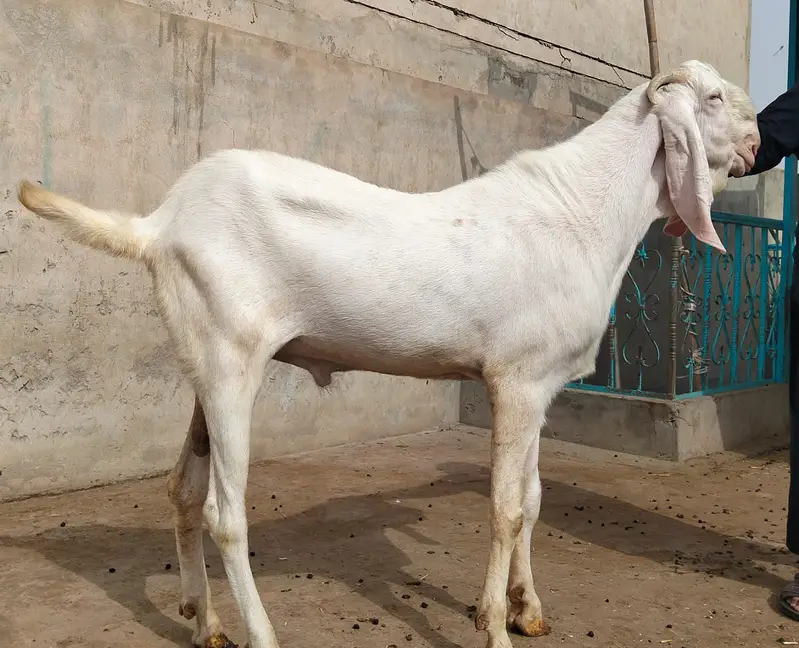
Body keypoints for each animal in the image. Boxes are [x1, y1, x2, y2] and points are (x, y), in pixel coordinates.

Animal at [18, 60, 759, 648]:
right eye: (713, 99)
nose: (756, 140)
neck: (584, 212)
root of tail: (160, 224)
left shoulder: (542, 385)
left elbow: (532, 496)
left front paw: (525, 610)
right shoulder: (514, 380)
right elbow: (504, 506)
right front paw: (494, 628)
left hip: (203, 359)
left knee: (182, 489)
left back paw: (207, 623)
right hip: (230, 360)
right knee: (224, 513)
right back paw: (261, 633)